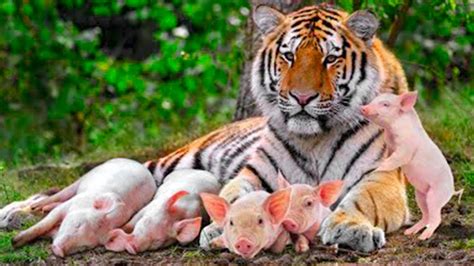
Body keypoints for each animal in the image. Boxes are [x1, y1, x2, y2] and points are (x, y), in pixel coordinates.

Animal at [143, 5, 408, 252]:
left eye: (330, 59)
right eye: (289, 56)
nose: (302, 98)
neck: (314, 139)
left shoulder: (382, 174)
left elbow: (364, 199)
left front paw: (349, 228)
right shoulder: (257, 173)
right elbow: (234, 195)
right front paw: (221, 227)